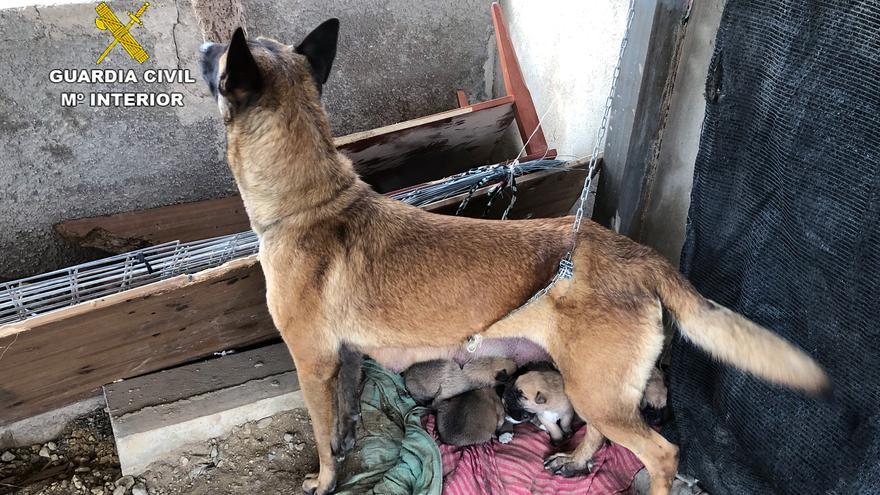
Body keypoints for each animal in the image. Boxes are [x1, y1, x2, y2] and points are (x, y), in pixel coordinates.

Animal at [199, 20, 832, 495]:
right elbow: (346, 418)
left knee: (662, 454)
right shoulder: (348, 357)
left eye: (218, 60)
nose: (202, 49)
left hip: (598, 391)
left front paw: (326, 480)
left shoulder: (313, 364)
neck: (309, 200)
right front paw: (350, 444)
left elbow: (323, 435)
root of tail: (639, 256)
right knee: (606, 434)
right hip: (593, 387)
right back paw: (576, 461)